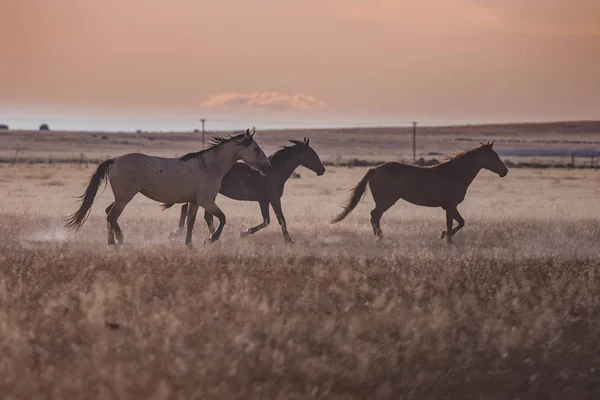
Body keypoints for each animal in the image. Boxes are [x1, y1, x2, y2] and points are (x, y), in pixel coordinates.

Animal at [65, 130, 272, 245]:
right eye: (256, 149)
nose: (268, 167)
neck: (209, 165)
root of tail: (115, 160)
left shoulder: (195, 201)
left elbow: (190, 222)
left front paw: (189, 244)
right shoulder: (206, 200)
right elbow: (222, 218)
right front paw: (211, 239)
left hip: (121, 198)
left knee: (110, 213)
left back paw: (119, 239)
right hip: (124, 198)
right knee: (111, 216)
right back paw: (114, 243)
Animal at [162, 138, 326, 244]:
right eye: (312, 153)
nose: (322, 170)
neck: (274, 172)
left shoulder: (263, 201)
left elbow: (266, 221)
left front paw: (243, 233)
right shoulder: (274, 199)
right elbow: (280, 220)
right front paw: (289, 241)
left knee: (198, 213)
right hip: (209, 195)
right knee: (202, 214)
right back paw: (211, 237)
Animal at [330, 142, 508, 242]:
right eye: (493, 156)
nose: (505, 171)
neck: (455, 173)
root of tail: (375, 169)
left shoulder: (450, 207)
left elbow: (460, 222)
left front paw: (444, 236)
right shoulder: (450, 206)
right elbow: (453, 224)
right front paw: (446, 238)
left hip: (381, 200)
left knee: (375, 216)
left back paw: (378, 236)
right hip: (388, 200)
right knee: (375, 214)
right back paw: (380, 237)